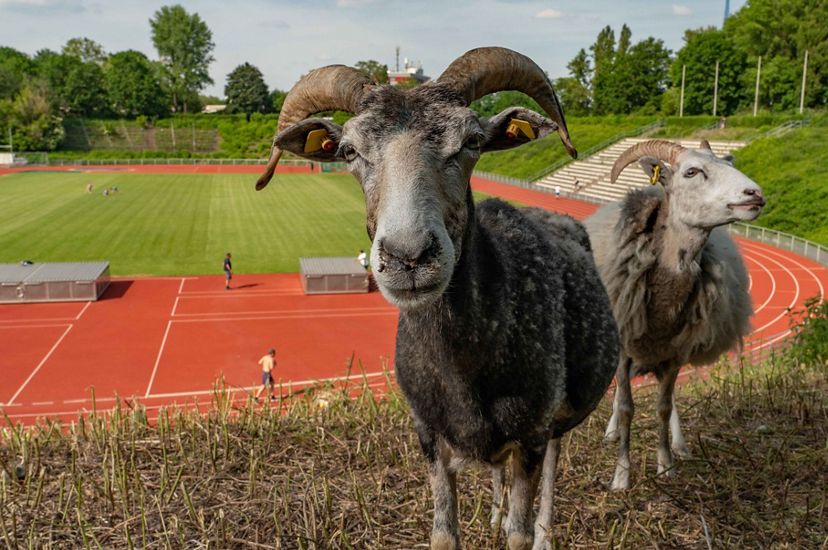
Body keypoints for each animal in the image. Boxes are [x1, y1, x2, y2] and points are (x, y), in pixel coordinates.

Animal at [255, 47, 620, 550]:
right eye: (348, 151)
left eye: (472, 140)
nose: (408, 256)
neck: (466, 367)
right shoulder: (428, 434)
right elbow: (444, 533)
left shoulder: (531, 434)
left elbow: (520, 532)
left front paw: (522, 528)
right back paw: (494, 512)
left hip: (553, 428)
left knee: (550, 475)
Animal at [583, 139, 765, 490]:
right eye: (691, 172)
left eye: (728, 163)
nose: (754, 193)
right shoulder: (624, 347)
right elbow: (626, 407)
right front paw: (622, 475)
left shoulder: (676, 351)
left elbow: (663, 407)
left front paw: (666, 464)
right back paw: (612, 433)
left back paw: (679, 444)